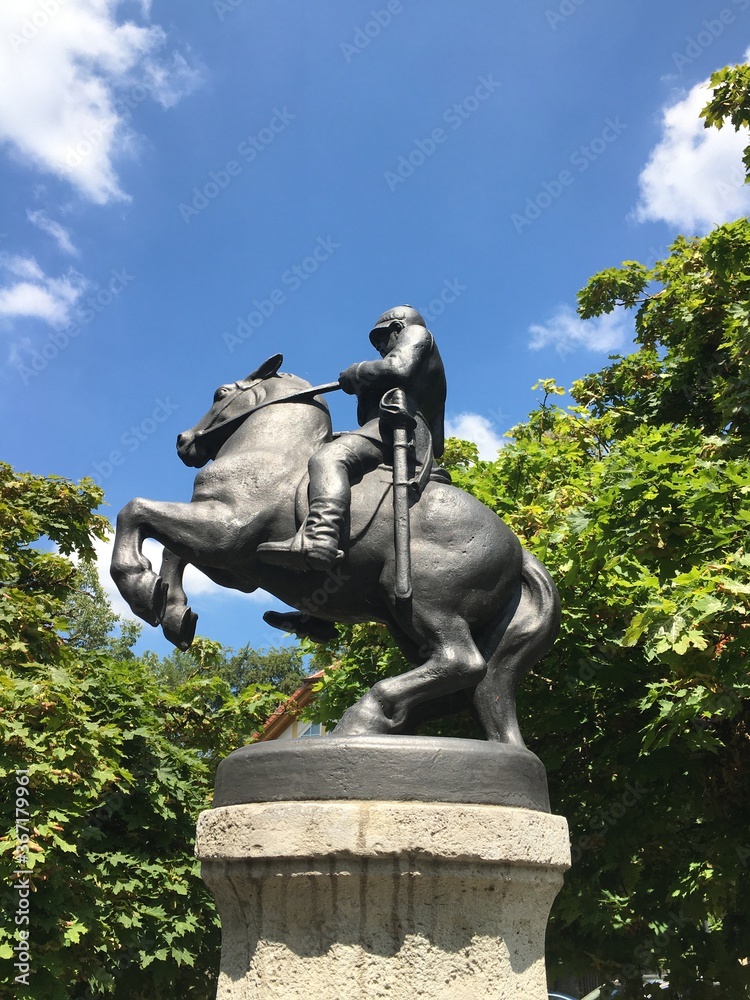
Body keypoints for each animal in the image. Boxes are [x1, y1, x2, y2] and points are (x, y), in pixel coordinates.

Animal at [111, 358, 560, 744]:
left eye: (220, 393)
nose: (183, 441)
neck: (270, 451)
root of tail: (518, 550)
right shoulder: (233, 565)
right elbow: (172, 550)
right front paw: (173, 611)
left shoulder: (225, 532)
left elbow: (136, 511)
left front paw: (138, 586)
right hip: (406, 622)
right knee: (462, 685)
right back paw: (389, 722)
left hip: (429, 604)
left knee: (462, 662)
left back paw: (365, 716)